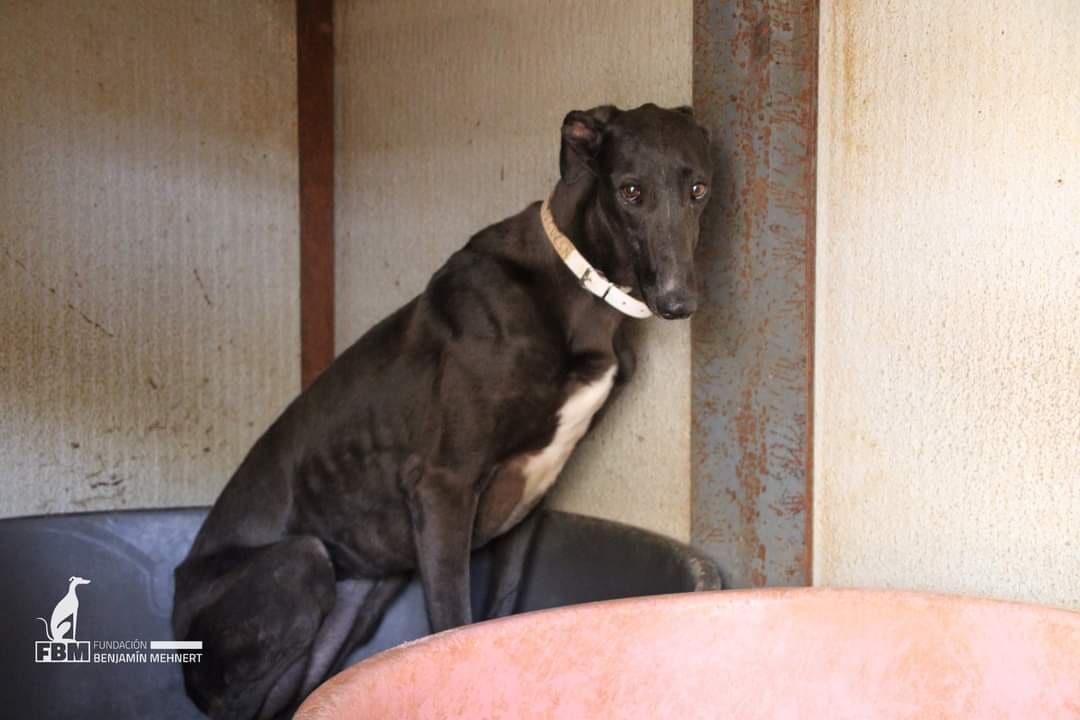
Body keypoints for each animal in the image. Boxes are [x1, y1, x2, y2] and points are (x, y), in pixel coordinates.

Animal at [172, 102, 712, 719]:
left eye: (698, 188)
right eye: (630, 191)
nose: (678, 303)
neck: (576, 294)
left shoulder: (530, 500)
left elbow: (499, 615)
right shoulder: (444, 486)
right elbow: (453, 625)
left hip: (352, 606)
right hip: (300, 564)